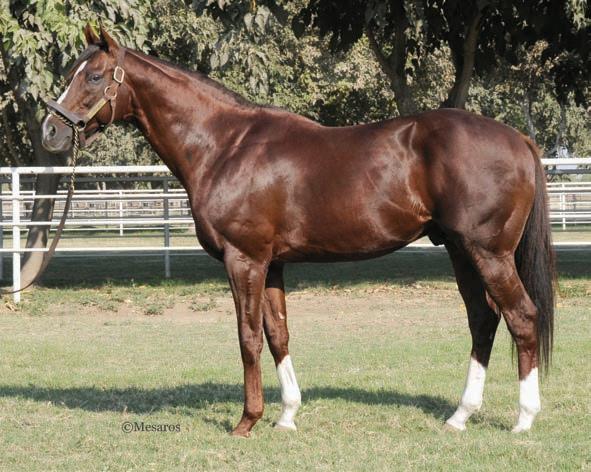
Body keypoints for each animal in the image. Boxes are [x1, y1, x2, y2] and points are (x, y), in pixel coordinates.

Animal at [41, 25, 555, 437]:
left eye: (93, 76)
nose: (50, 131)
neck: (225, 146)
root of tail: (519, 139)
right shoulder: (271, 264)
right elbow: (278, 334)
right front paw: (287, 415)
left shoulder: (244, 259)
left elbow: (248, 336)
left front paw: (247, 421)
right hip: (460, 251)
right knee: (484, 320)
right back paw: (460, 416)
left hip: (487, 252)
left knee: (522, 317)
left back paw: (524, 419)